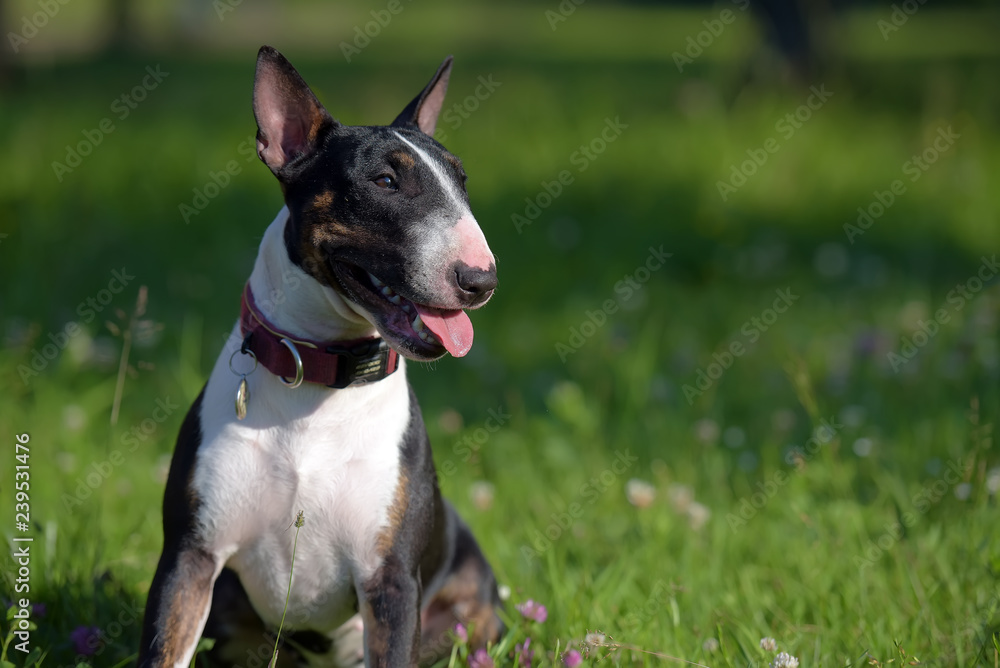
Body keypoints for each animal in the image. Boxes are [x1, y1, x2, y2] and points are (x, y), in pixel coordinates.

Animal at [139, 47, 500, 668]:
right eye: (385, 180)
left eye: (462, 182)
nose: (481, 280)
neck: (321, 381)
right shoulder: (189, 557)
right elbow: (166, 647)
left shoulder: (389, 579)